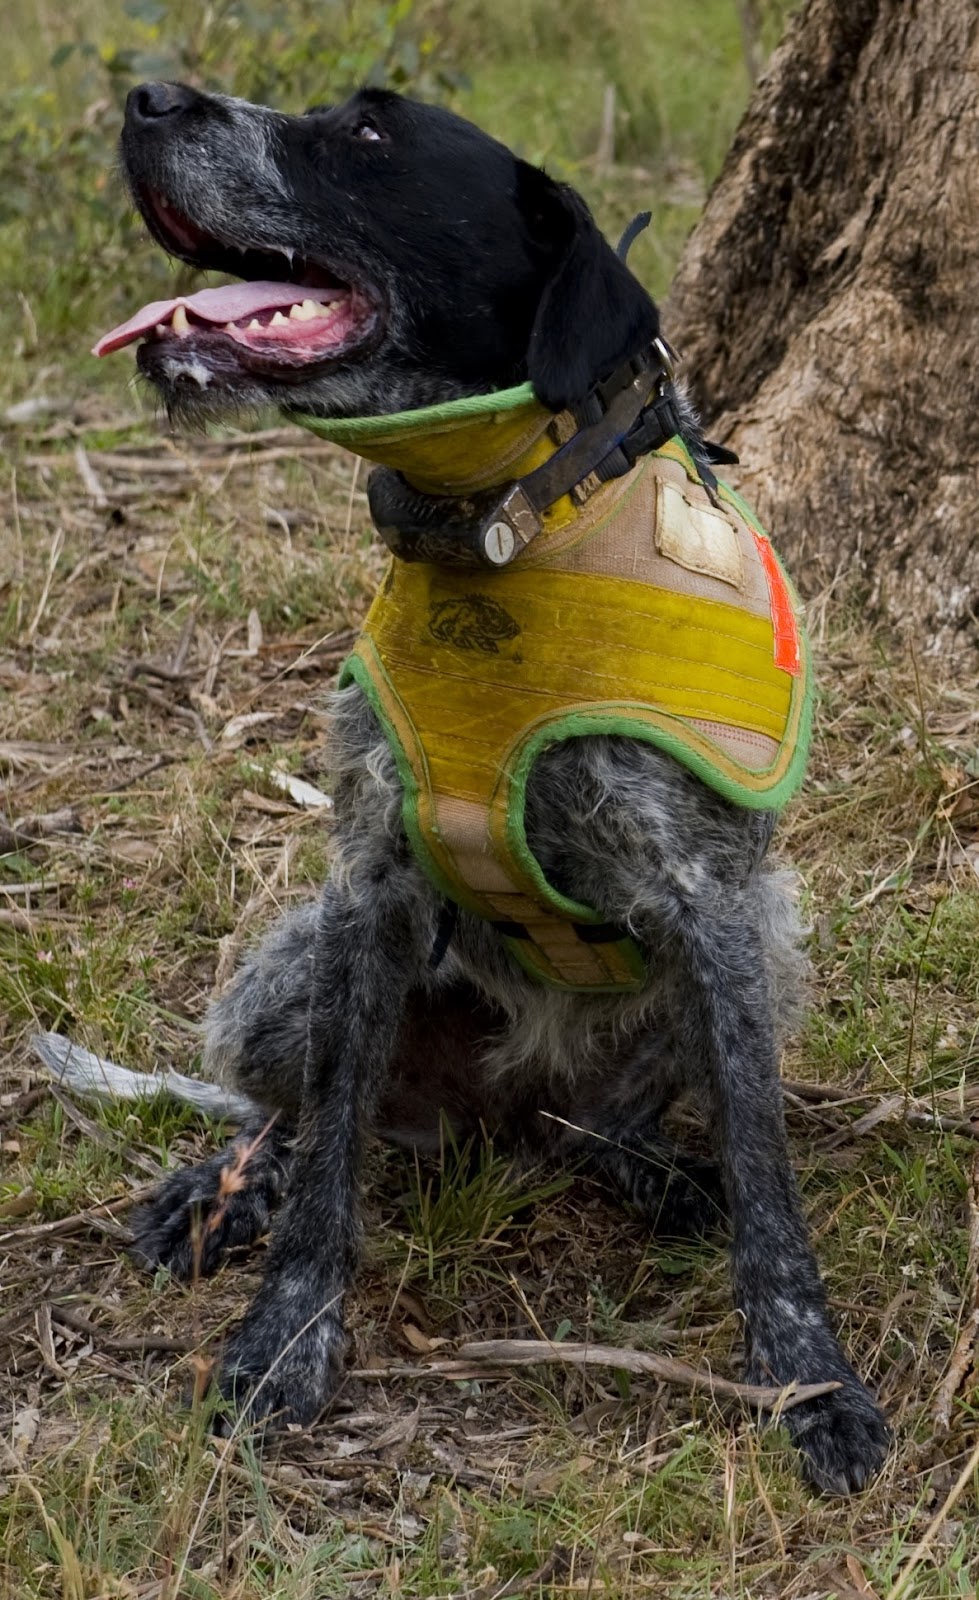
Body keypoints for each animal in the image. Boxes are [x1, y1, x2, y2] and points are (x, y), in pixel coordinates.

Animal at [95, 81, 889, 1491]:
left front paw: (812, 1380)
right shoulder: (368, 890)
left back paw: (653, 1174)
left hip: (773, 947)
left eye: (368, 135)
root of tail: (500, 1116)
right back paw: (221, 1189)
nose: (150, 97)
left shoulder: (720, 909)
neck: (501, 533)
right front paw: (283, 1341)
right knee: (293, 1121)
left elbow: (769, 1184)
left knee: (610, 1129)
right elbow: (325, 1180)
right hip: (290, 966)